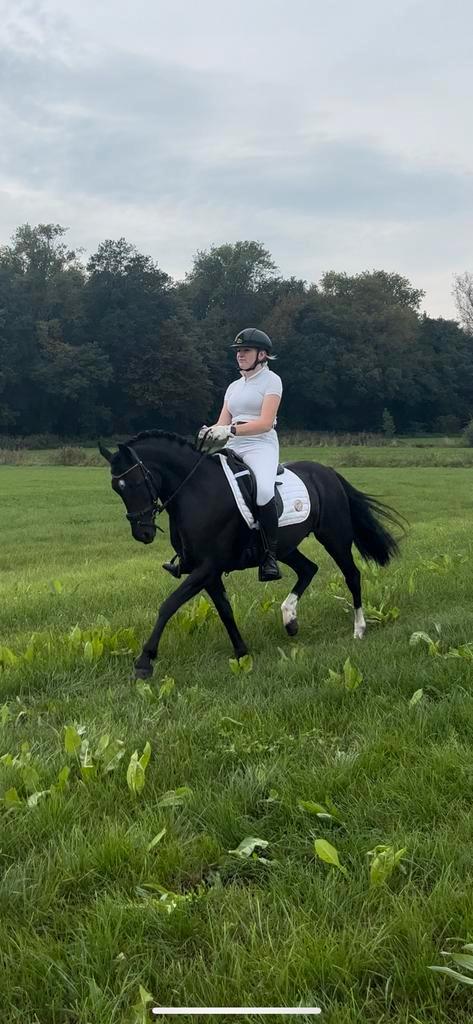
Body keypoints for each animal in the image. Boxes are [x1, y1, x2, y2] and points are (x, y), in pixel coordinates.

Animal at [99, 431, 404, 679]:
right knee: (308, 569)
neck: (196, 491)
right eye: (116, 488)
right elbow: (225, 610)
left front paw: (144, 661)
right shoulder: (207, 572)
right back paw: (289, 619)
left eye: (135, 482)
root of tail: (327, 471)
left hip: (335, 537)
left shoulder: (207, 568)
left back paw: (358, 629)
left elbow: (168, 605)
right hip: (284, 548)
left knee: (351, 575)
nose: (143, 533)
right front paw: (242, 653)